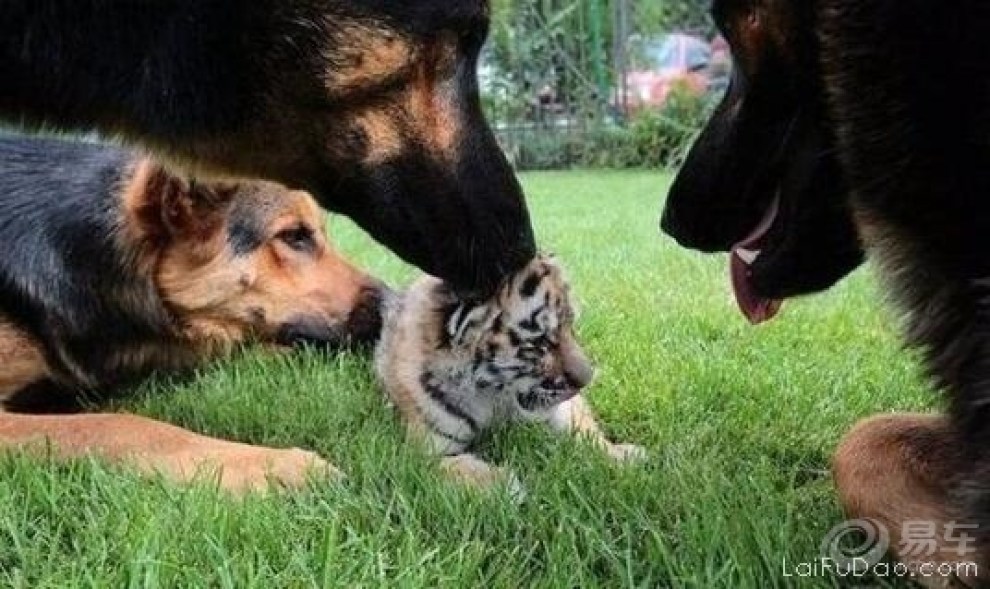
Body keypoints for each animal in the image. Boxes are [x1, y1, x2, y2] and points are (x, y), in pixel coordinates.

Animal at [375, 253, 645, 491]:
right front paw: (504, 485)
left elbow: (584, 430)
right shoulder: (418, 456)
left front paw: (621, 455)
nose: (588, 379)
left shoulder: (563, 407)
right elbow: (455, 467)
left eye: (571, 325)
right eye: (540, 342)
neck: (492, 394)